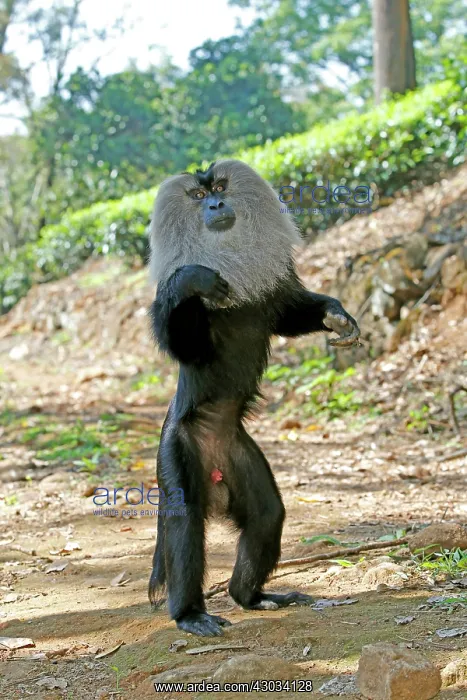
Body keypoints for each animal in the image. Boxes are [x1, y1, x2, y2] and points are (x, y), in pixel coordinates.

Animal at [148, 159, 360, 637]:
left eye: (220, 188)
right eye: (197, 196)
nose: (214, 204)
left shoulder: (272, 291)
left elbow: (287, 313)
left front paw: (337, 317)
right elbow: (186, 344)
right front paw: (191, 279)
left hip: (237, 455)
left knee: (266, 515)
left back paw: (252, 596)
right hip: (176, 448)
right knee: (185, 522)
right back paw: (188, 614)